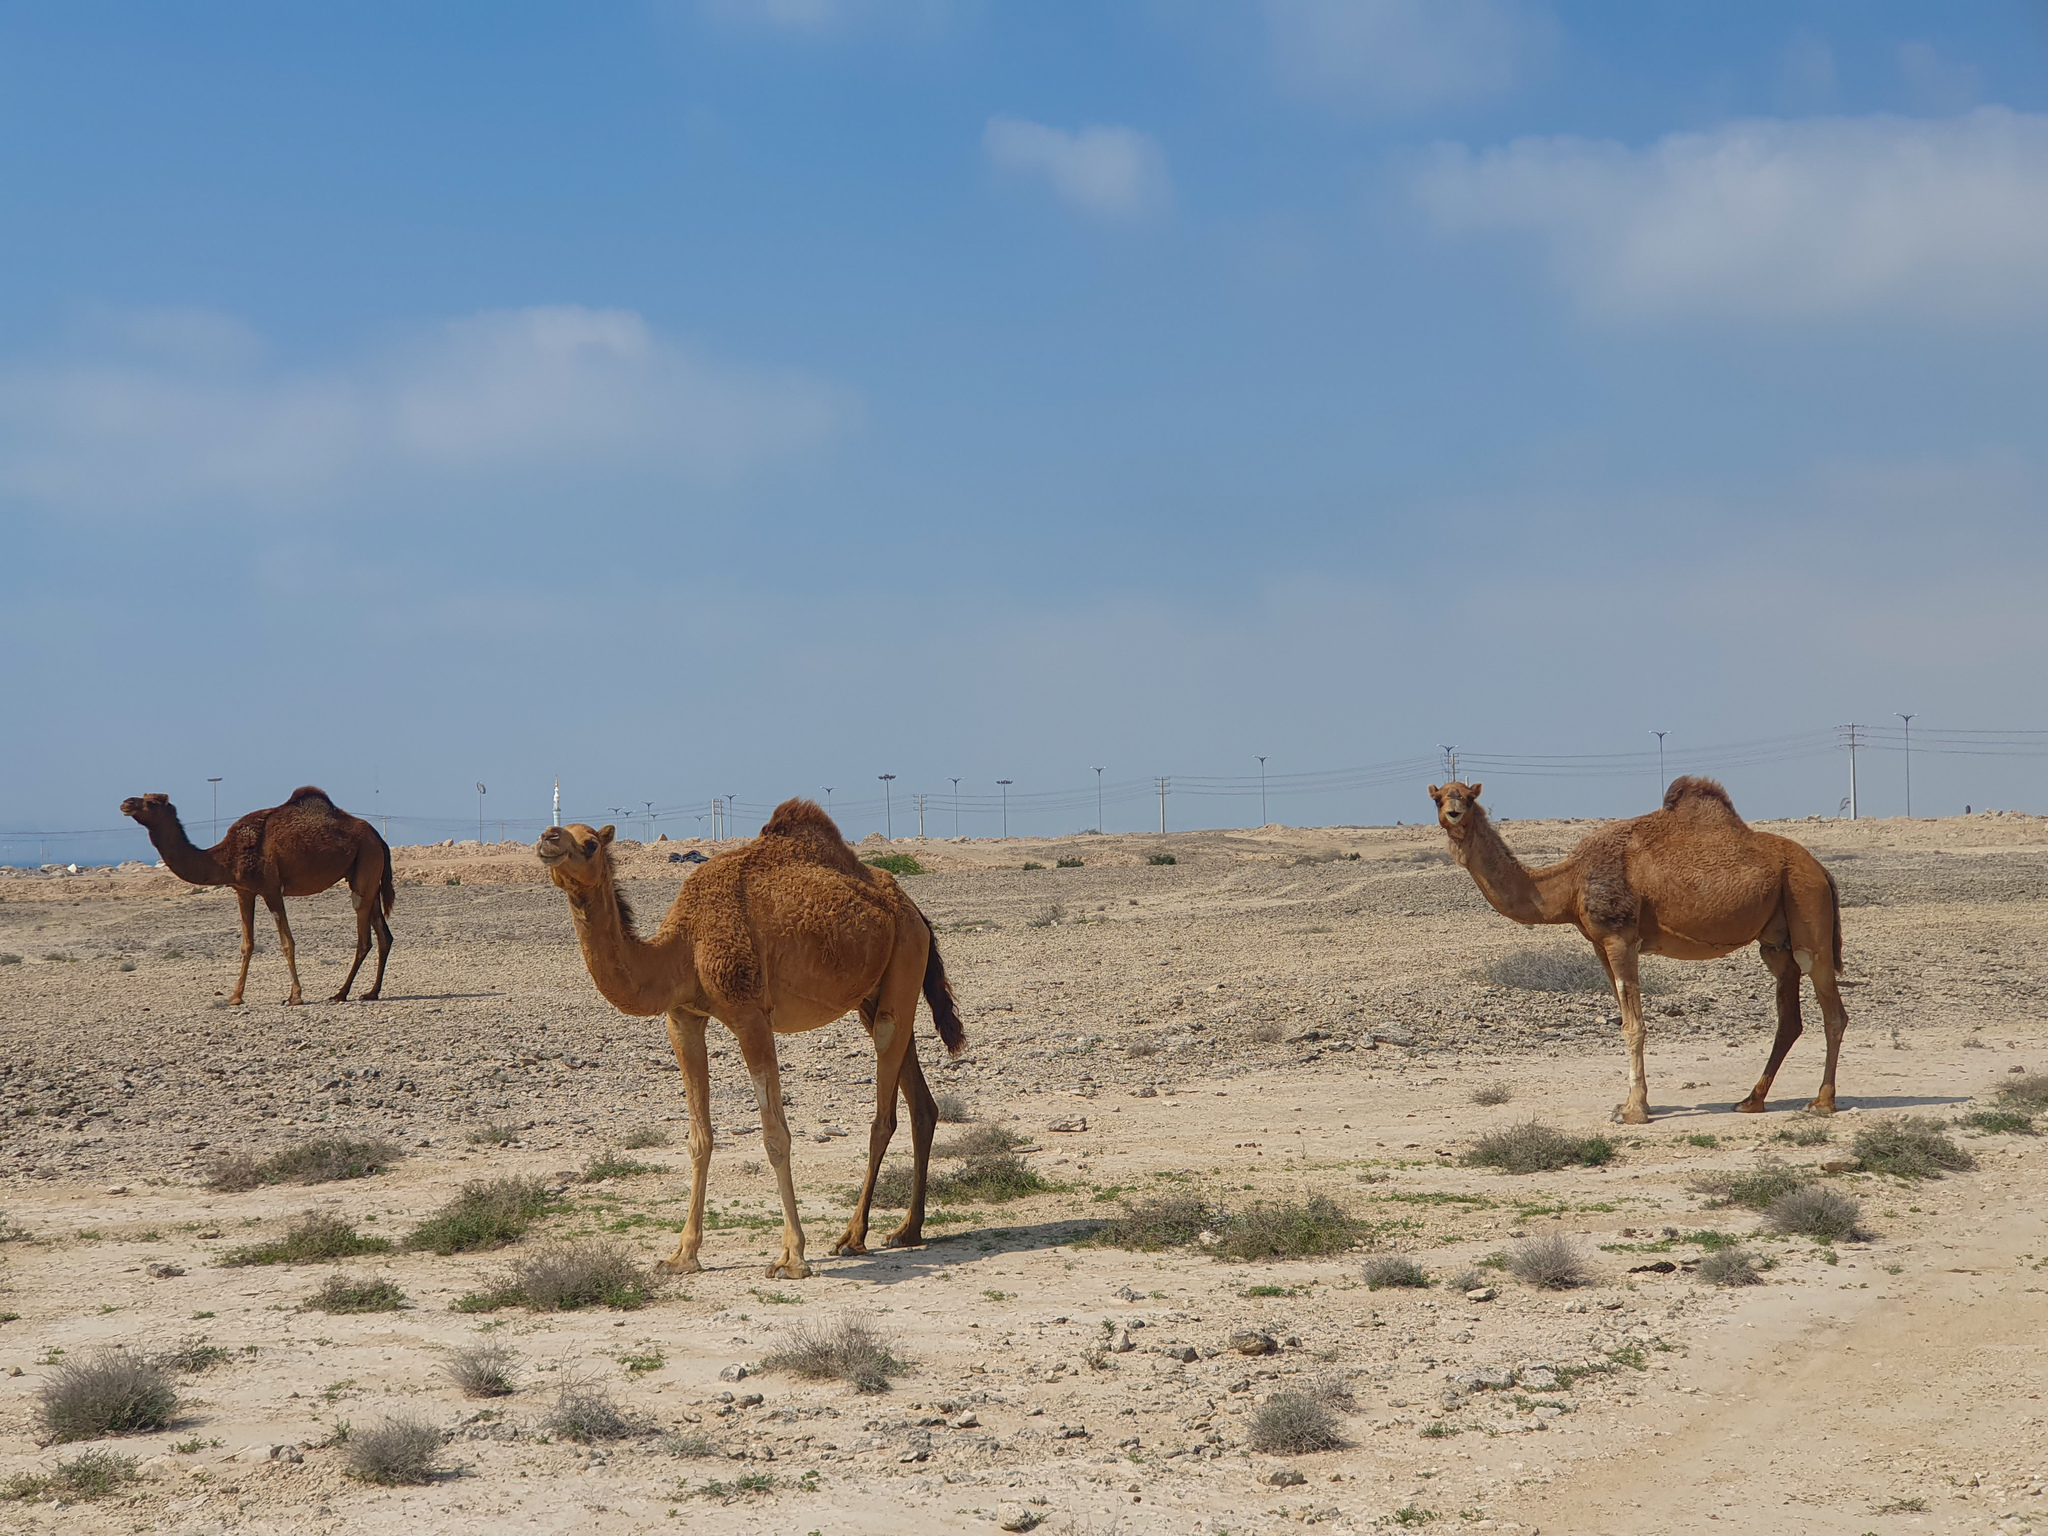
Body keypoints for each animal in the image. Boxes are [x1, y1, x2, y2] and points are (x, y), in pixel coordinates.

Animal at [120, 782, 395, 1011]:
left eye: (152, 802)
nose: (126, 802)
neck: (225, 857)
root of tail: (378, 838)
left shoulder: (271, 888)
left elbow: (287, 943)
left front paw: (295, 996)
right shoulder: (244, 891)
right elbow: (247, 945)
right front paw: (235, 997)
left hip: (365, 865)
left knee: (364, 938)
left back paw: (341, 993)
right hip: (367, 876)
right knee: (384, 935)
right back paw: (371, 992)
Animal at [536, 798, 966, 1277]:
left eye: (590, 843)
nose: (548, 838)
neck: (683, 948)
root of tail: (914, 910)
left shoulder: (750, 1016)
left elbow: (775, 1136)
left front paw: (792, 1257)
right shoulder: (682, 1019)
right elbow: (699, 1138)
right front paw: (682, 1255)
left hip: (904, 960)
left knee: (883, 1115)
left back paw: (853, 1236)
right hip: (875, 995)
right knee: (920, 1104)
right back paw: (908, 1230)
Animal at [1433, 786, 1851, 1122]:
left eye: (1467, 797)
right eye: (1438, 797)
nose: (1453, 813)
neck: (1569, 883)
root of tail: (1821, 868)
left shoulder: (1620, 936)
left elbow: (1634, 1027)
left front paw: (1633, 1110)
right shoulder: (1599, 943)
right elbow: (1625, 1020)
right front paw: (1633, 1104)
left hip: (1806, 905)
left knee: (1832, 1009)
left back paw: (1822, 1103)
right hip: (1776, 939)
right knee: (1789, 1015)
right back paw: (1750, 1101)